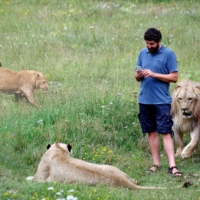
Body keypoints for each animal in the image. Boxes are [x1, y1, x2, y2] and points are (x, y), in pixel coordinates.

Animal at [26, 141, 165, 190]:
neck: (58, 151)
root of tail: (121, 180)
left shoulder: (39, 178)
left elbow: (30, 178)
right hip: (113, 168)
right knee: (135, 180)